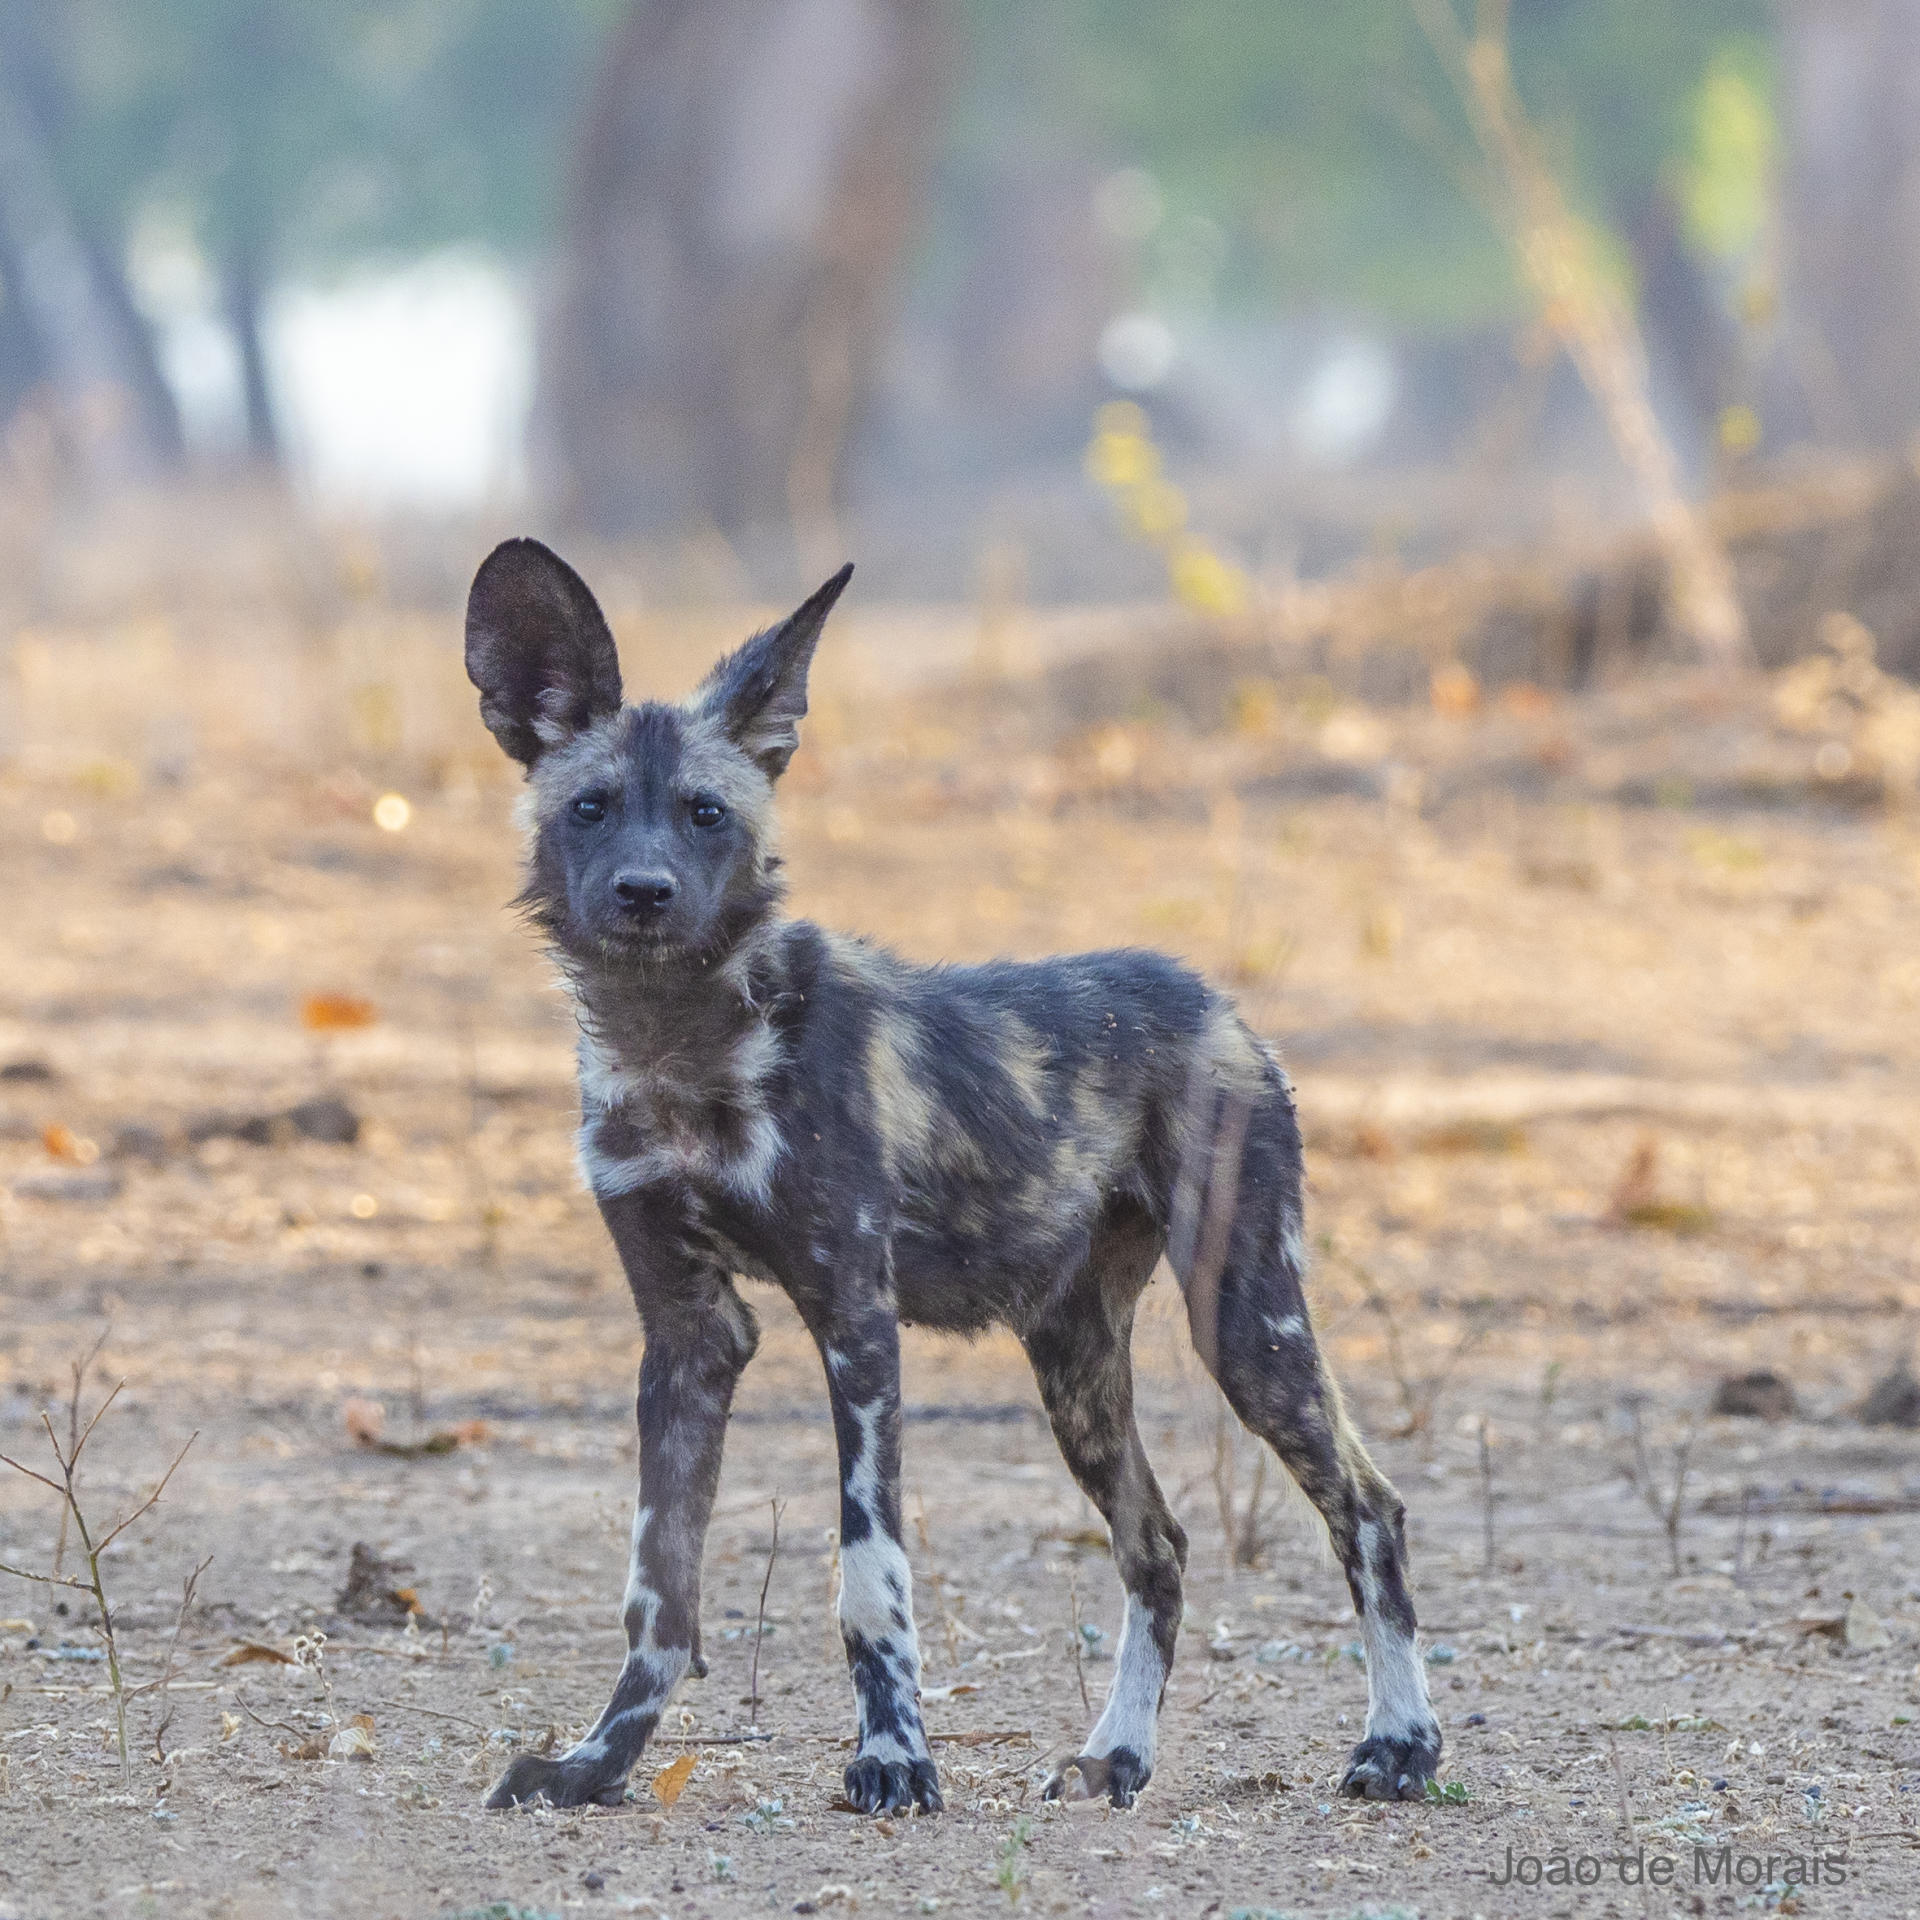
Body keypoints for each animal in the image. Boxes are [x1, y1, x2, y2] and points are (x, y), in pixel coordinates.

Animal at [460, 537, 1428, 1812]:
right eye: (591, 808)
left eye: (706, 814)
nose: (644, 892)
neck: (679, 1043)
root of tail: (1219, 1004)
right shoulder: (687, 1334)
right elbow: (658, 1589)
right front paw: (598, 1761)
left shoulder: (857, 1322)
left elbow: (869, 1578)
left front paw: (892, 1761)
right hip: (1073, 1364)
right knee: (1158, 1547)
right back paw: (1118, 1755)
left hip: (1247, 1329)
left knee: (1368, 1508)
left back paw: (1400, 1744)